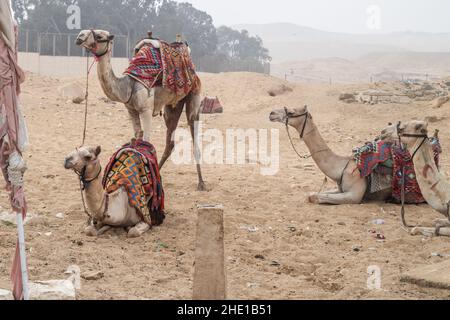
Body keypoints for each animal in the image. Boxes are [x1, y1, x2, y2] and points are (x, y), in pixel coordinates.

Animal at [75, 29, 206, 190]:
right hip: (173, 105)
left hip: (194, 94)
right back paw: (159, 174)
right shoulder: (131, 110)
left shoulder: (146, 110)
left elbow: (147, 140)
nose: (79, 36)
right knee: (170, 140)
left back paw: (201, 183)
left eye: (99, 36)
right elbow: (138, 137)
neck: (128, 85)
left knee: (194, 133)